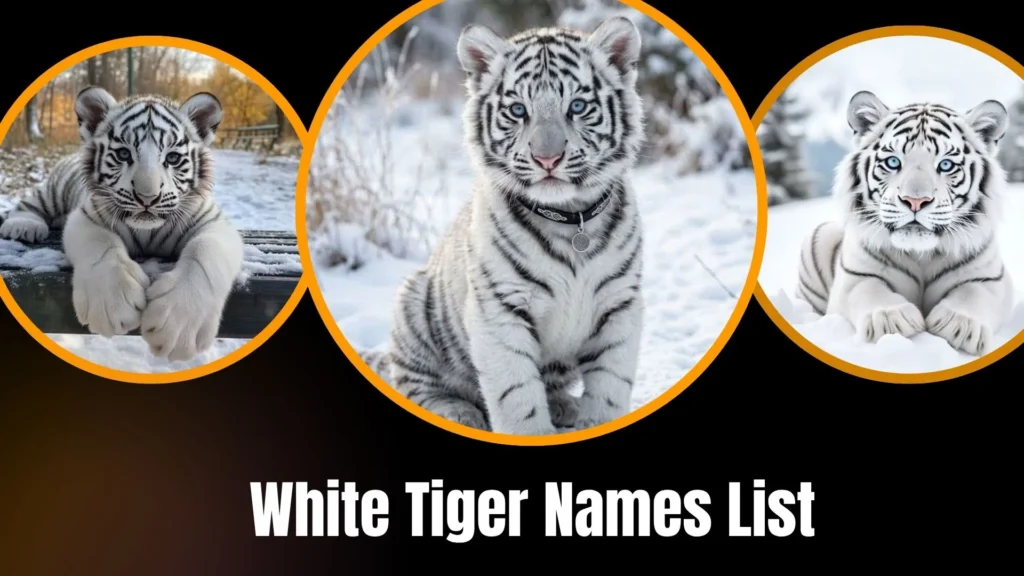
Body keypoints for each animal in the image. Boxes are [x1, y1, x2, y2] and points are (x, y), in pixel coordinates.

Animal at [0, 86, 244, 362]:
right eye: (124, 154)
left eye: (172, 158)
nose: (147, 197)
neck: (148, 233)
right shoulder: (86, 215)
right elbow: (101, 244)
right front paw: (113, 305)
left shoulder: (215, 223)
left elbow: (205, 252)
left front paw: (179, 326)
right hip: (54, 192)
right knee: (30, 203)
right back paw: (22, 225)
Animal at [365, 16, 646, 436]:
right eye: (517, 110)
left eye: (577, 106)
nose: (547, 158)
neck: (570, 220)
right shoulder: (500, 309)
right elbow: (517, 398)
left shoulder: (619, 305)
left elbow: (609, 390)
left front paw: (594, 420)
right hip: (414, 306)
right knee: (415, 385)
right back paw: (458, 412)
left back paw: (563, 406)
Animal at [795, 90, 1013, 356]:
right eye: (892, 162)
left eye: (946, 165)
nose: (915, 201)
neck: (921, 254)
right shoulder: (855, 276)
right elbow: (869, 290)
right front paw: (891, 319)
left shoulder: (992, 278)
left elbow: (974, 293)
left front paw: (960, 325)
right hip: (820, 235)